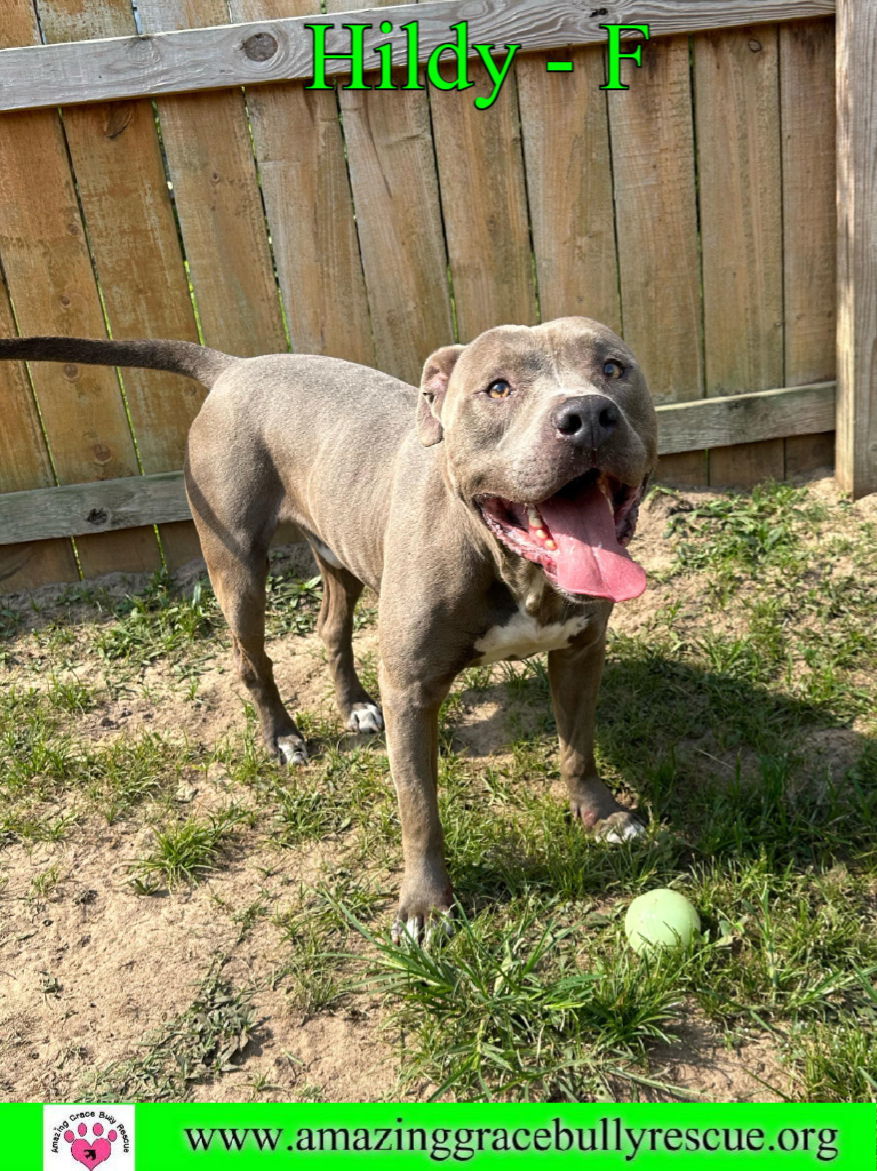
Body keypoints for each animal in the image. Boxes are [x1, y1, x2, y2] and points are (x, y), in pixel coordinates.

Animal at [0, 320, 655, 941]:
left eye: (613, 368)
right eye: (498, 388)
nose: (588, 415)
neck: (512, 565)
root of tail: (235, 367)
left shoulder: (580, 654)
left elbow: (577, 749)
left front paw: (601, 815)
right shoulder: (412, 689)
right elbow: (419, 808)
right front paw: (425, 906)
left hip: (339, 558)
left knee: (330, 631)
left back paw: (355, 705)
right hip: (237, 568)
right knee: (252, 661)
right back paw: (283, 737)